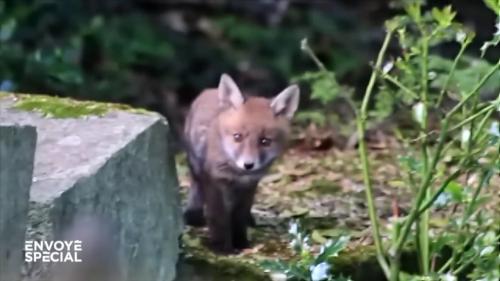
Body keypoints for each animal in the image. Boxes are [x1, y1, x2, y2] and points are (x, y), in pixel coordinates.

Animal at [184, 72, 300, 252]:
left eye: (264, 141)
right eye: (237, 137)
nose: (248, 165)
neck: (237, 174)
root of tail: (210, 90)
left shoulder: (249, 185)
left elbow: (238, 216)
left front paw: (240, 242)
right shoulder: (214, 179)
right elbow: (218, 216)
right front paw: (221, 247)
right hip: (196, 166)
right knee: (196, 187)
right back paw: (193, 215)